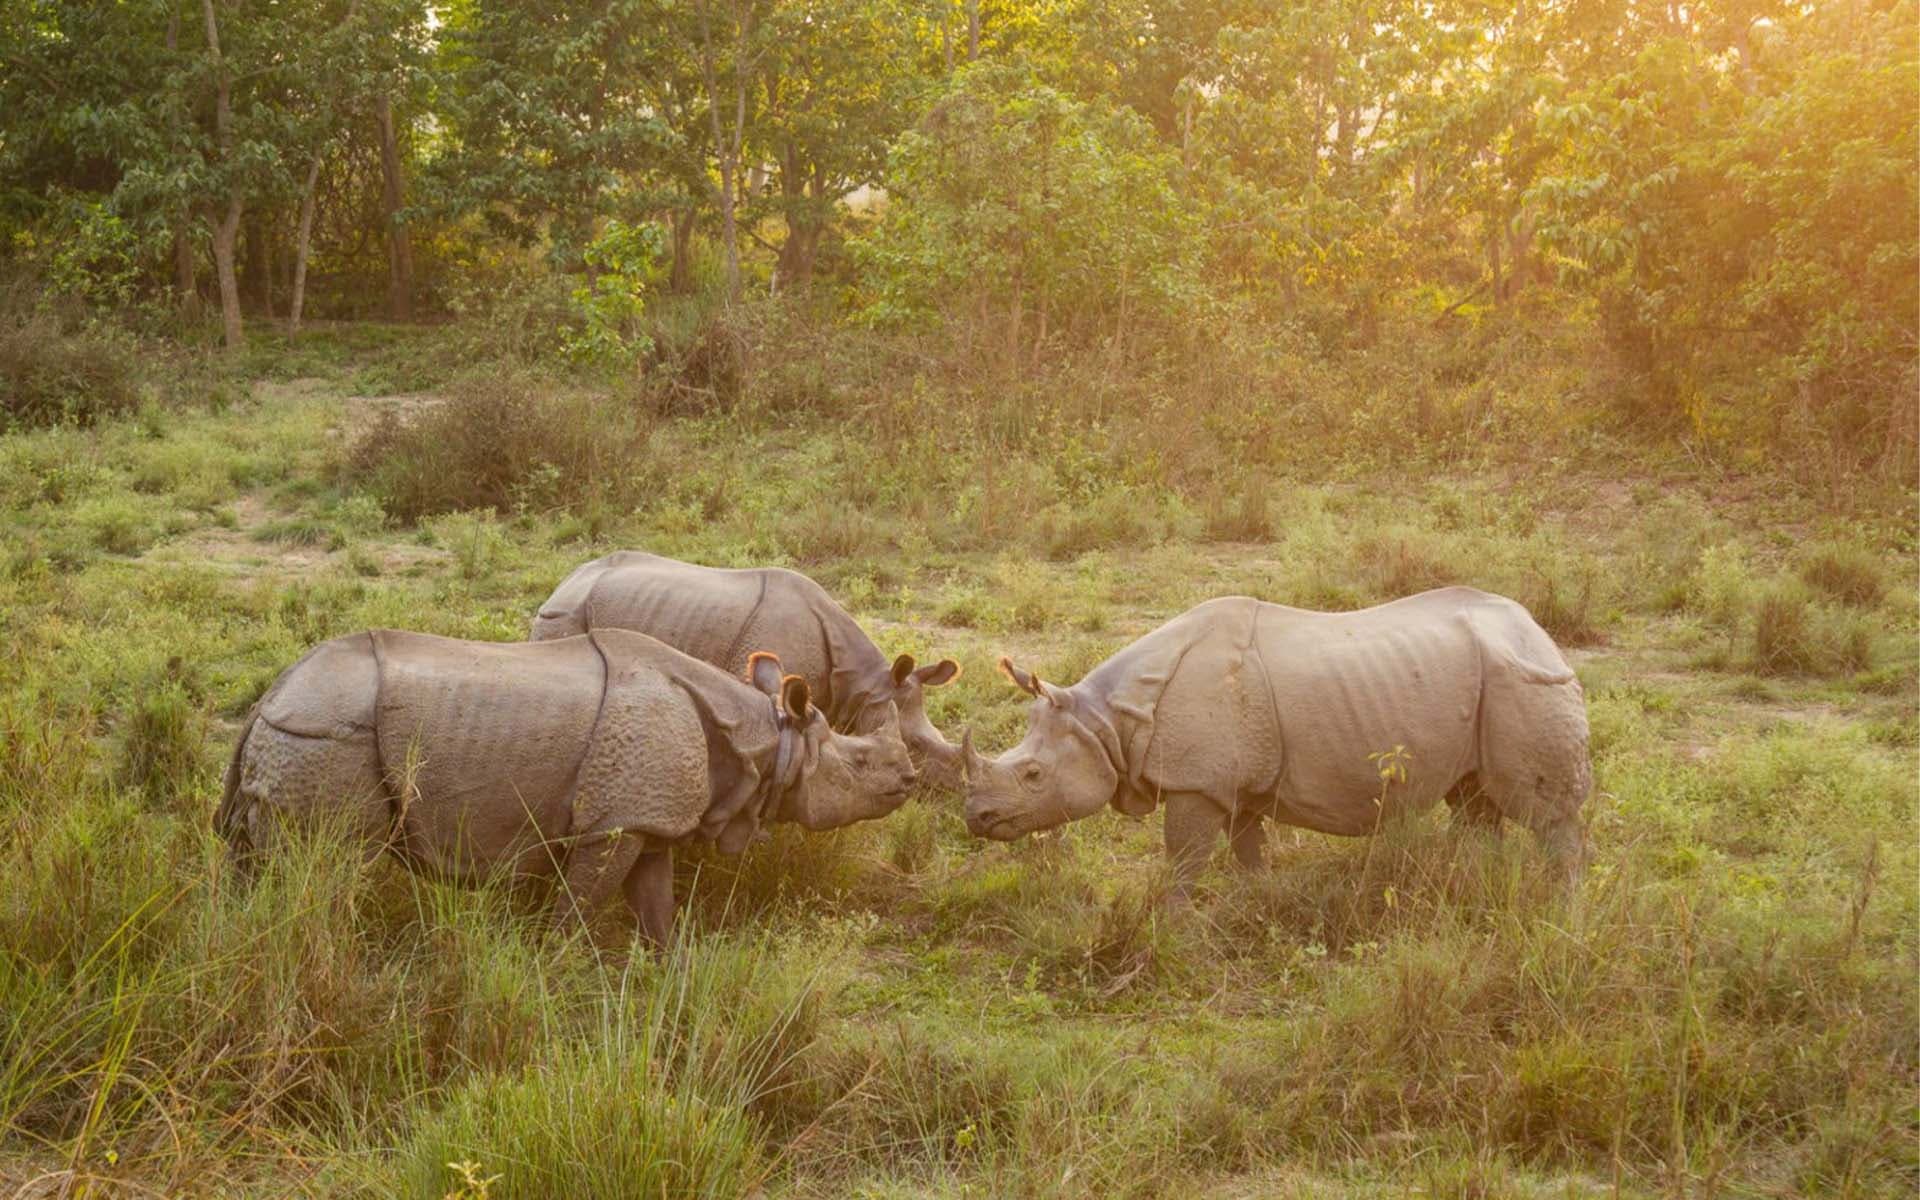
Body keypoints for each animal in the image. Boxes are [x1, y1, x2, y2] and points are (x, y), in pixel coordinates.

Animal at [215, 628, 916, 942]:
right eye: (858, 763)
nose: (909, 781)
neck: (765, 738)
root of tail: (271, 697)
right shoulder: (612, 826)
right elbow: (577, 911)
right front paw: (552, 971)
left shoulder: (645, 820)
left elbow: (657, 909)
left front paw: (669, 973)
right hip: (323, 740)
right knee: (330, 865)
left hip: (293, 737)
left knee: (260, 868)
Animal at [961, 587, 1591, 893]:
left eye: (1033, 775)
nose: (976, 818)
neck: (1107, 722)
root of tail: (1538, 629)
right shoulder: (1233, 781)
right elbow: (1247, 849)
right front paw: (1261, 901)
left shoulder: (1198, 783)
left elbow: (1184, 859)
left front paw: (1172, 922)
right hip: (1482, 681)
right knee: (1473, 800)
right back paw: (1476, 887)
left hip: (1523, 679)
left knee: (1543, 813)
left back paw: (1564, 910)